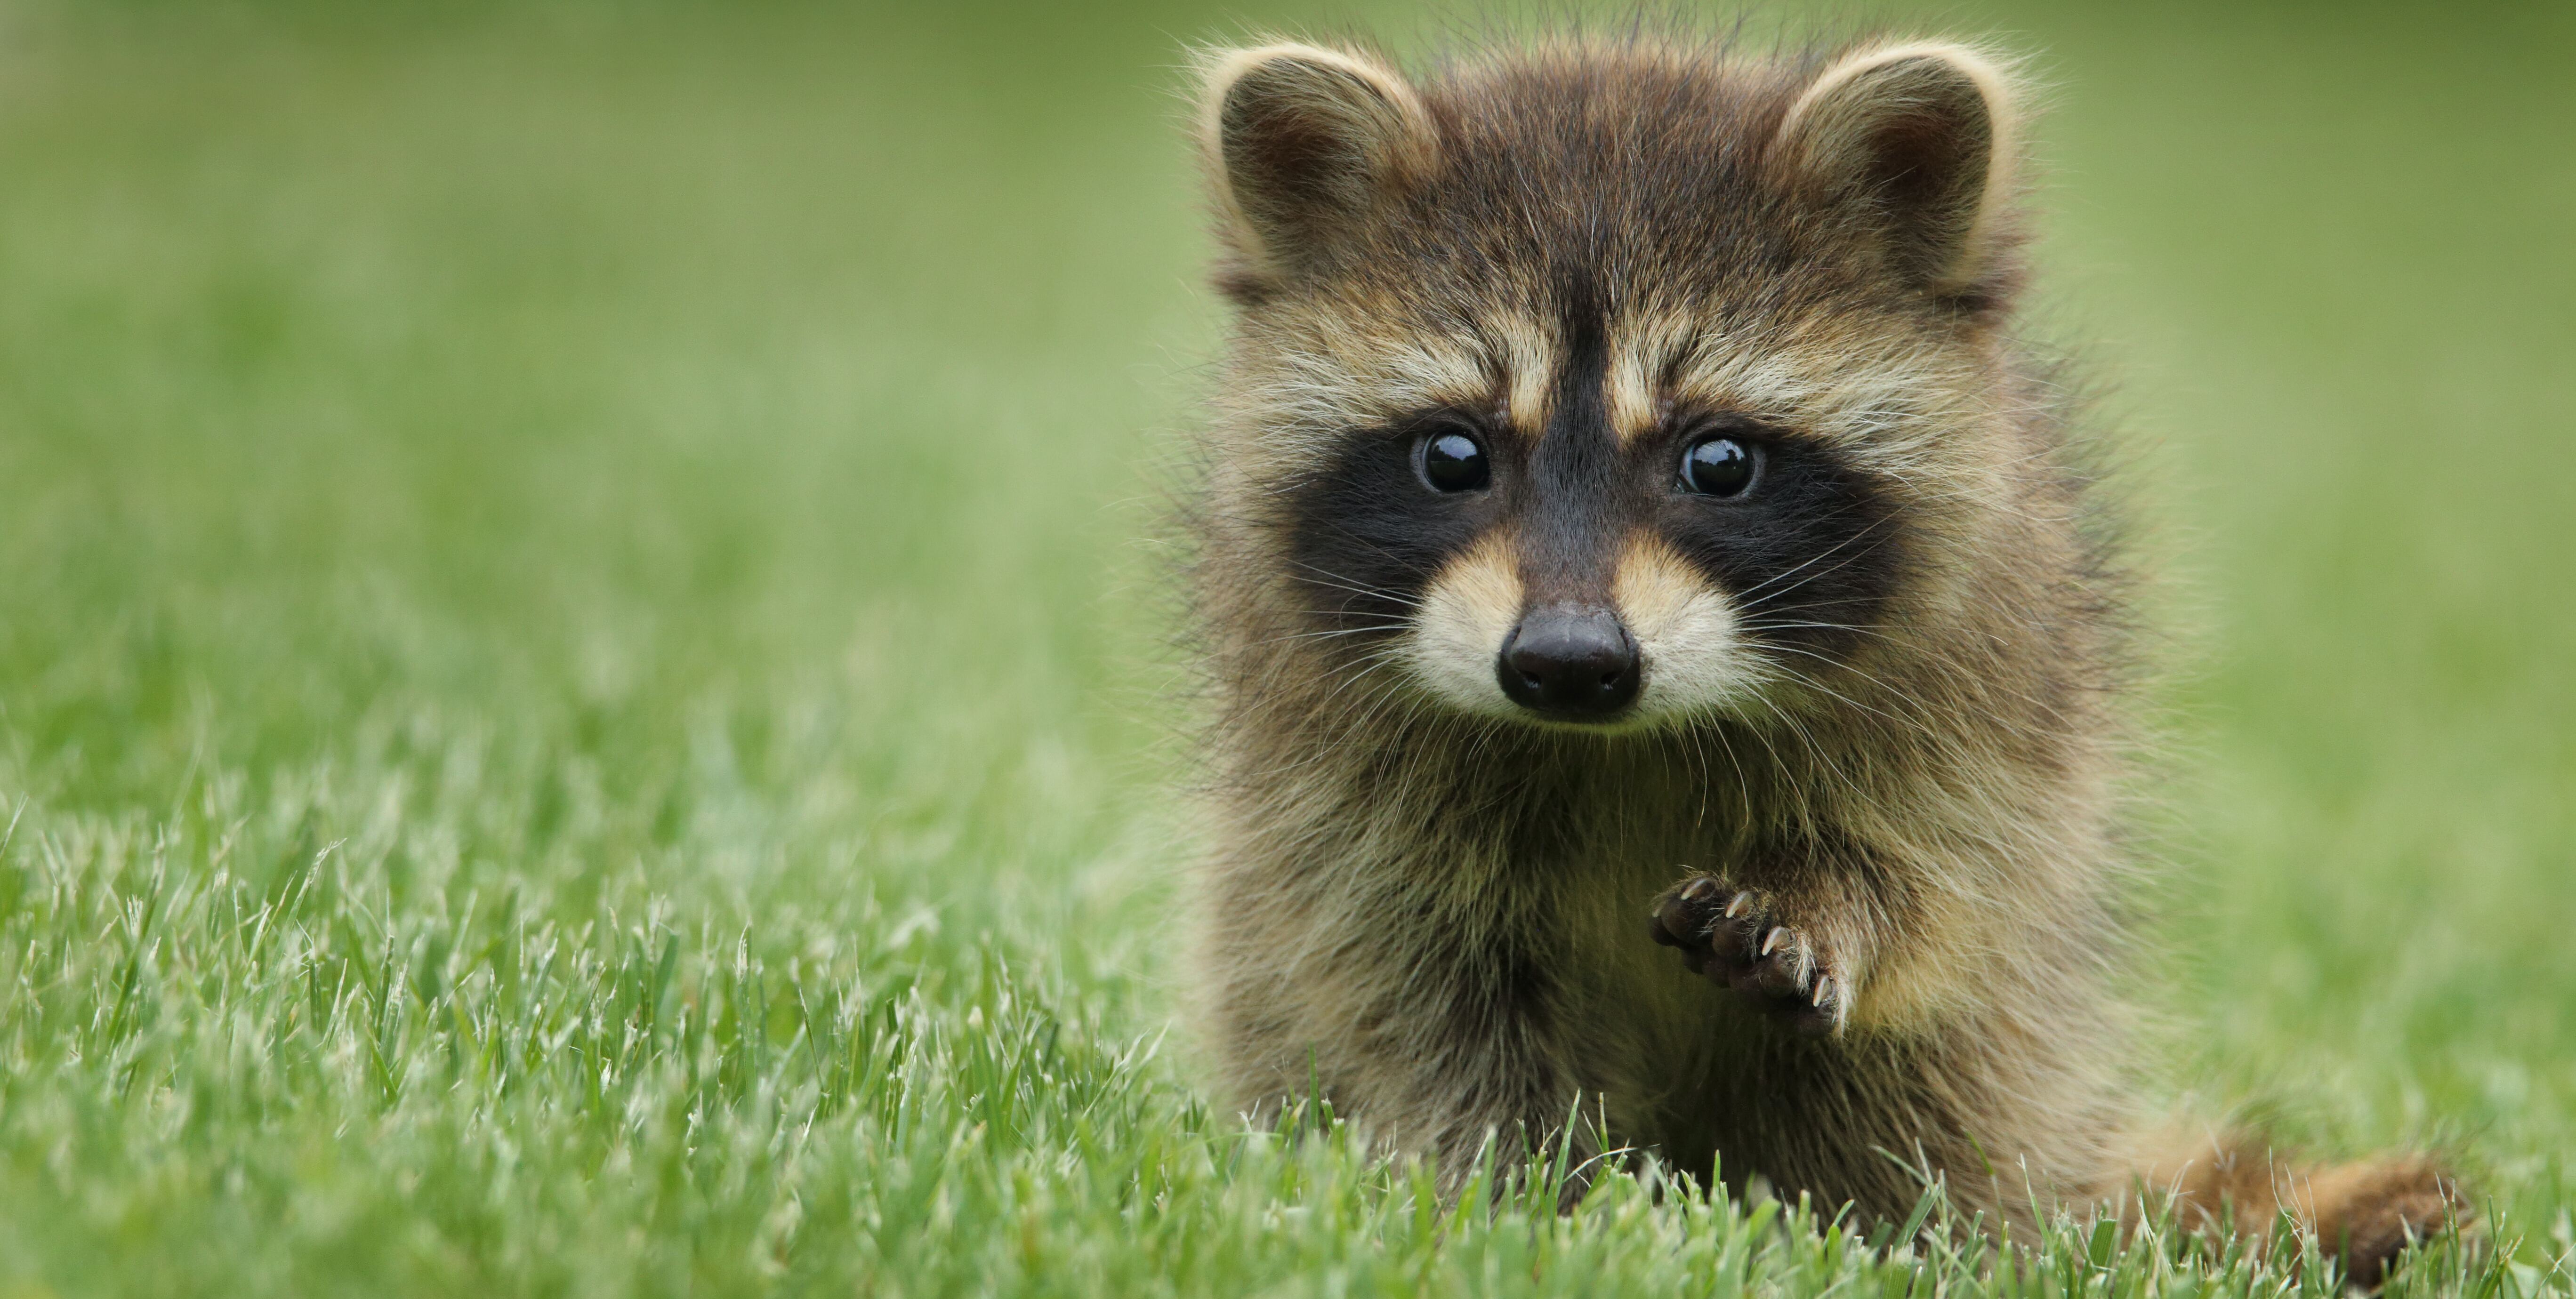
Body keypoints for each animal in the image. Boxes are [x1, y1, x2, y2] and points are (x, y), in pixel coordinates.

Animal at [1177, 29, 2458, 1286]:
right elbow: (1410, 987)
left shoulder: (1992, 675)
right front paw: (1525, 1199)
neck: (1619, 741)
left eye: (1719, 462)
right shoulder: (1334, 777)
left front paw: (1831, 900)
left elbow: (1940, 874)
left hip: (2016, 1050)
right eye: (1452, 456)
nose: (1567, 662)